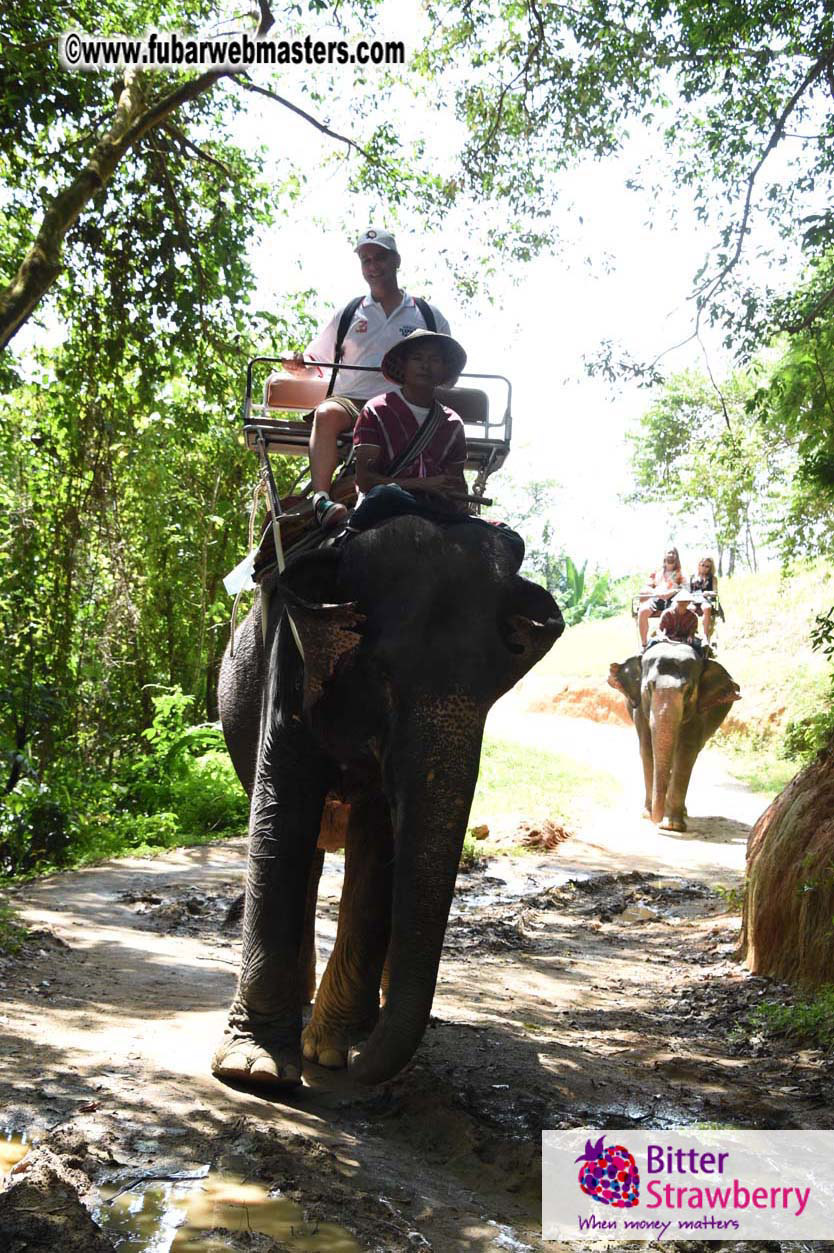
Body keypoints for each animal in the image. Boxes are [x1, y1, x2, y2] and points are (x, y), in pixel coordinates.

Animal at [212, 512, 564, 1089]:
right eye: (378, 672)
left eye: (497, 690)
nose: (362, 1061)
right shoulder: (290, 652)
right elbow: (282, 810)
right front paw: (256, 1069)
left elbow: (379, 837)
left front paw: (334, 1050)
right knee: (308, 852)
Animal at [607, 641, 740, 832]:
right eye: (649, 687)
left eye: (689, 691)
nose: (656, 820)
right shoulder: (640, 709)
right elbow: (647, 749)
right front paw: (648, 814)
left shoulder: (698, 712)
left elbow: (686, 753)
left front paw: (671, 826)